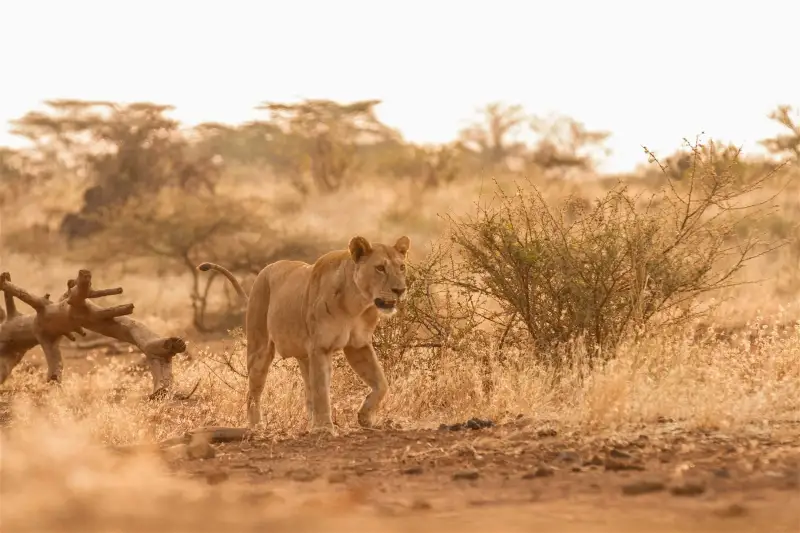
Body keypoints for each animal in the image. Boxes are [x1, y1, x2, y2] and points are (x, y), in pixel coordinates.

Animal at [197, 235, 410, 435]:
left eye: (402, 267)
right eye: (380, 268)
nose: (400, 290)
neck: (357, 304)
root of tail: (264, 270)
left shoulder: (358, 345)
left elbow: (381, 383)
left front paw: (365, 418)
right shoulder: (320, 347)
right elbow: (322, 390)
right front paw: (324, 428)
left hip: (304, 356)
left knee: (308, 390)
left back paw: (308, 424)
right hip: (260, 347)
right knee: (253, 392)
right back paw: (257, 427)